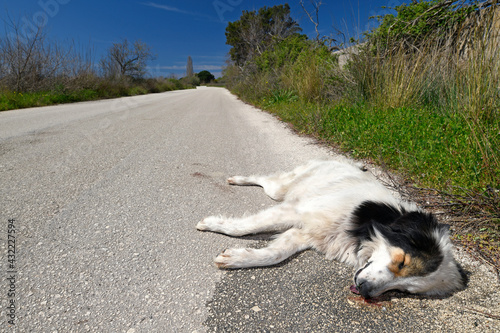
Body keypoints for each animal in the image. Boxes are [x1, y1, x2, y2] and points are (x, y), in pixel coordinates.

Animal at [197, 157, 466, 296]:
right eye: (401, 262)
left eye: (404, 291)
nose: (365, 290)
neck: (363, 231)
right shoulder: (296, 210)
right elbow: (245, 227)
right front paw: (212, 224)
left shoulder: (304, 233)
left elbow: (273, 254)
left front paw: (236, 257)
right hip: (282, 190)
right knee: (264, 180)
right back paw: (237, 179)